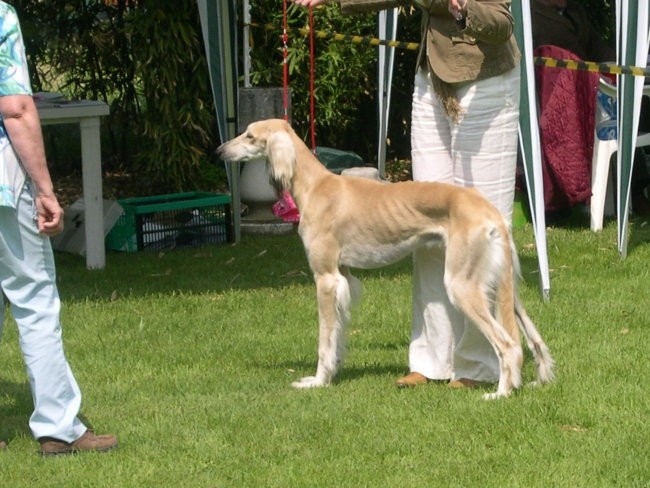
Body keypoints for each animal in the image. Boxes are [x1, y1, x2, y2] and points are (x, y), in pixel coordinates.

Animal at [218, 119, 552, 400]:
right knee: (532, 338)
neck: (316, 186)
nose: (219, 150)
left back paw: (501, 393)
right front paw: (334, 371)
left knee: (508, 345)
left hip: (462, 284)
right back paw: (539, 378)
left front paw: (318, 381)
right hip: (502, 285)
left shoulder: (325, 278)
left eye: (249, 135)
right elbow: (338, 334)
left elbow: (324, 339)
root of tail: (488, 209)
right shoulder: (344, 278)